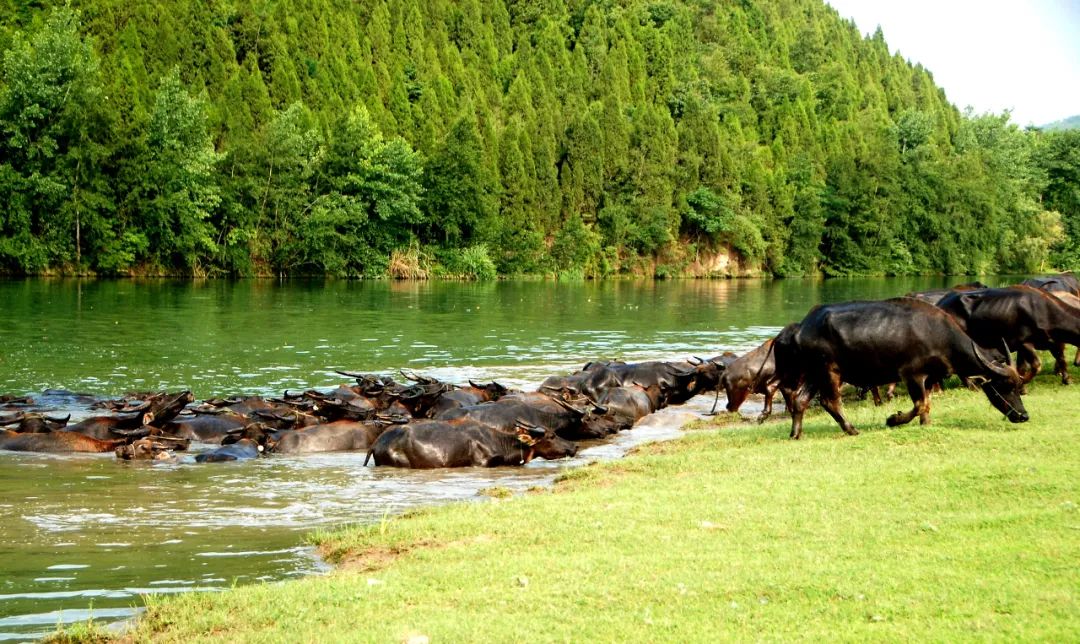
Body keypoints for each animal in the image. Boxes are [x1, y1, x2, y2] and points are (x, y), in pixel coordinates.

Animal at [773, 298, 1023, 440]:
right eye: (1005, 385)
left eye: (1019, 385)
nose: (1023, 415)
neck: (940, 336)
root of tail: (801, 327)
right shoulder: (912, 375)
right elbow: (919, 404)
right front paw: (893, 419)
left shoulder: (930, 377)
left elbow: (927, 404)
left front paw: (926, 424)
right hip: (829, 371)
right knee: (830, 402)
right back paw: (852, 429)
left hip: (815, 373)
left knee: (800, 400)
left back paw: (796, 433)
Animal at [937, 285, 1080, 382]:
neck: (1045, 311)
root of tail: (942, 303)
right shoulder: (1024, 343)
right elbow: (1036, 365)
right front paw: (1022, 383)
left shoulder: (1050, 341)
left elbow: (1060, 358)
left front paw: (1067, 379)